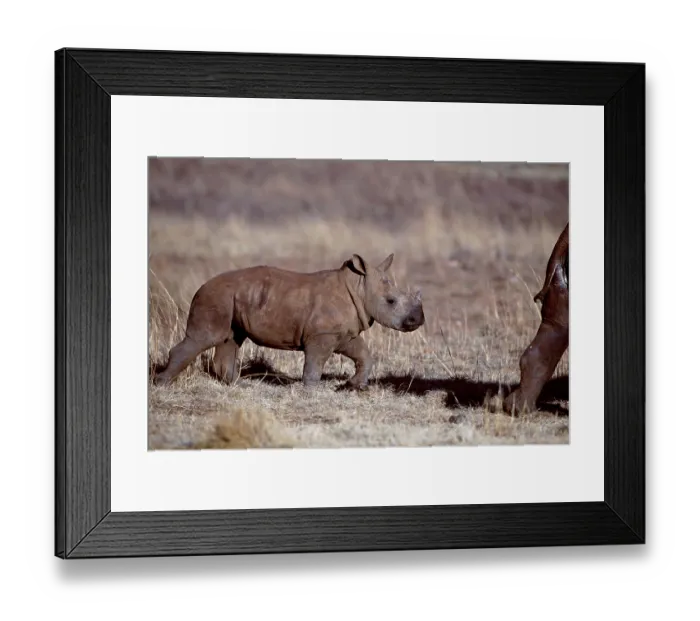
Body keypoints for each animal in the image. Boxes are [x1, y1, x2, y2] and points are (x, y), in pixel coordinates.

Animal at [153, 253, 425, 390]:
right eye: (391, 301)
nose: (418, 320)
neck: (358, 285)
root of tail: (201, 286)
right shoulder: (321, 335)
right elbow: (315, 363)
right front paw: (312, 390)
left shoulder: (343, 333)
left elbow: (364, 354)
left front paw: (354, 386)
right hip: (215, 297)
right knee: (205, 337)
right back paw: (162, 385)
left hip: (230, 299)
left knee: (230, 338)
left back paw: (238, 387)